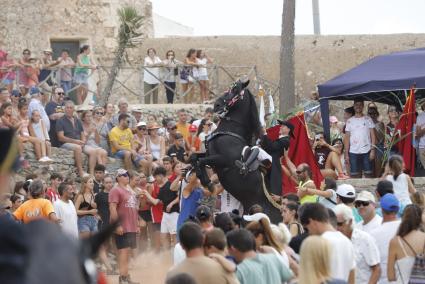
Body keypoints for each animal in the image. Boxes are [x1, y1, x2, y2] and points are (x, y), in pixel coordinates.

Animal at [196, 80, 282, 224]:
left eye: (235, 90)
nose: (217, 105)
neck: (231, 131)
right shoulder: (210, 155)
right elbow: (194, 157)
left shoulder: (222, 160)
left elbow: (199, 161)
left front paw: (207, 183)